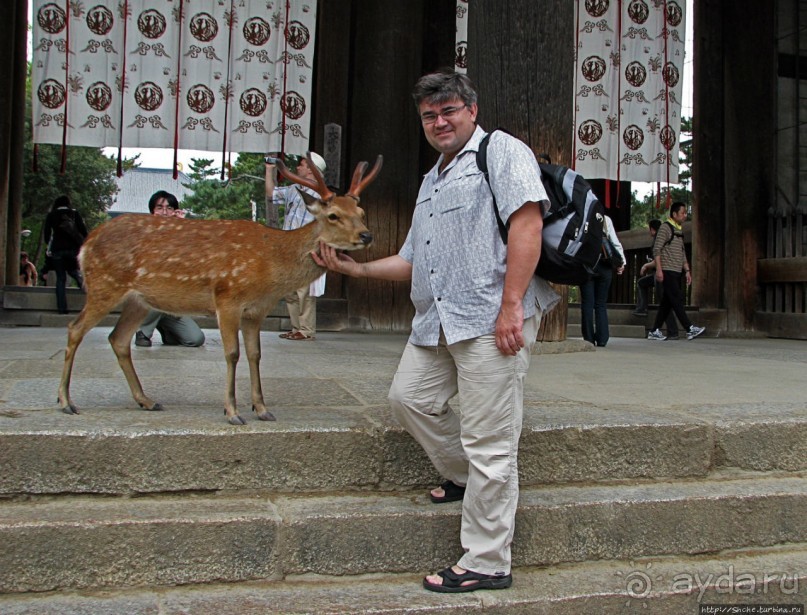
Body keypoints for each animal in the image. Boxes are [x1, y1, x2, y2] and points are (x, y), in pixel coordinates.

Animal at [58, 153, 384, 424]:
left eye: (361, 212)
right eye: (333, 215)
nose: (366, 235)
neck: (271, 267)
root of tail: (86, 244)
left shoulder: (256, 310)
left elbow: (255, 354)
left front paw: (262, 409)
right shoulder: (228, 296)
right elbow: (232, 353)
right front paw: (232, 412)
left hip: (139, 300)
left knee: (117, 338)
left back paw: (147, 400)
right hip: (104, 284)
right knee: (75, 329)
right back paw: (66, 402)